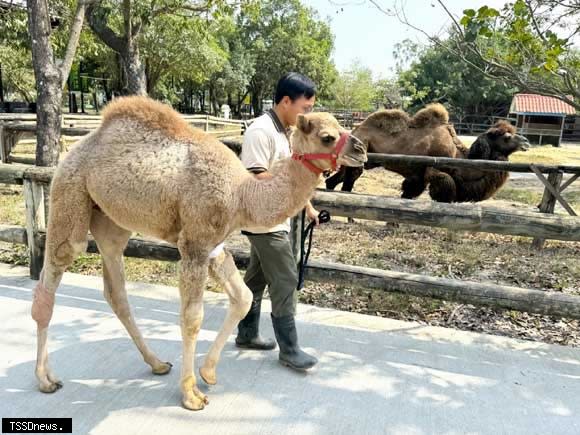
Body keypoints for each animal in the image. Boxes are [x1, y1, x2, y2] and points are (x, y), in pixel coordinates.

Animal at [30, 96, 368, 412]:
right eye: (327, 136)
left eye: (341, 126)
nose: (361, 148)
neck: (242, 195)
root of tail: (74, 150)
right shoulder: (195, 242)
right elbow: (192, 318)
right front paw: (191, 394)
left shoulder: (213, 245)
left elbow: (244, 297)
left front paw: (209, 373)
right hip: (70, 193)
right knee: (54, 270)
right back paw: (45, 379)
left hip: (112, 221)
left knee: (116, 289)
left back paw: (156, 363)